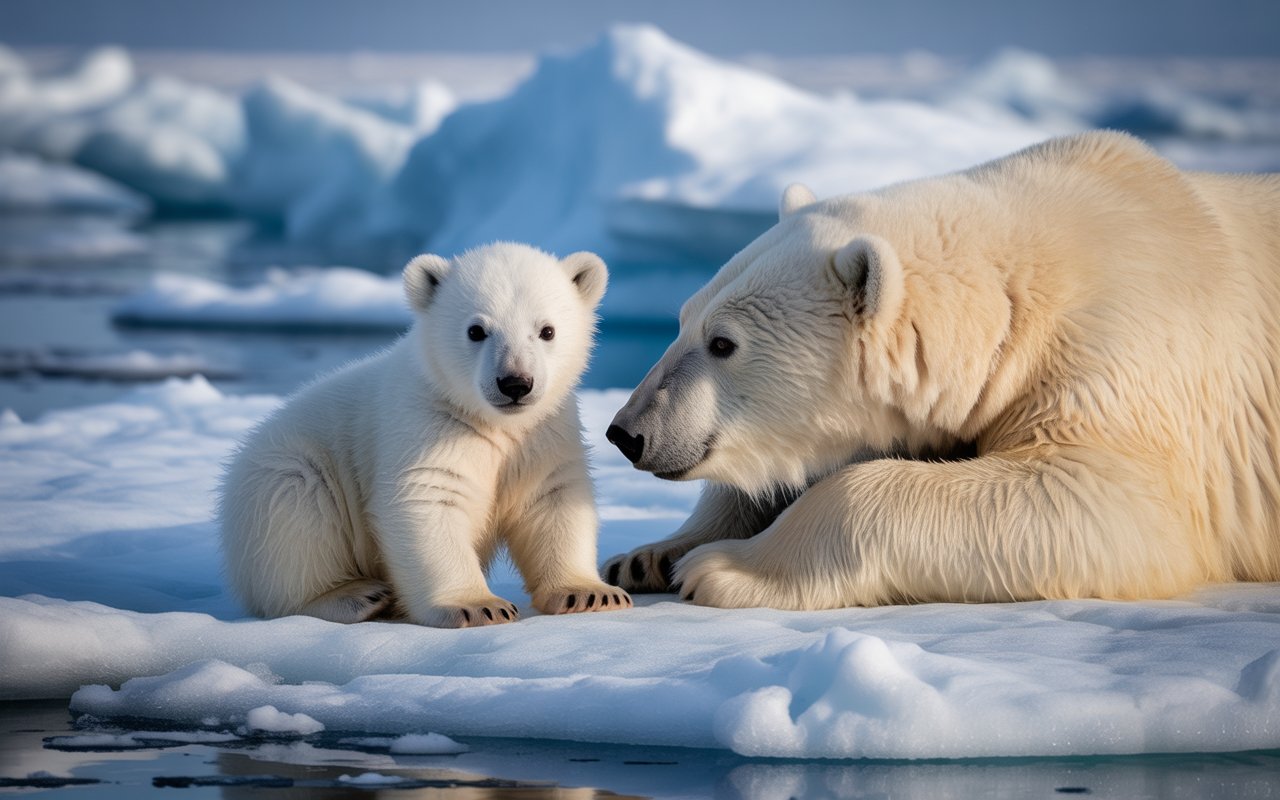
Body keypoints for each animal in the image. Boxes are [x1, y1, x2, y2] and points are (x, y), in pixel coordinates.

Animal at [220, 242, 631, 627]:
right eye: (476, 330)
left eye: (547, 330)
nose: (515, 383)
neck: (491, 421)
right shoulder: (427, 424)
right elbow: (430, 500)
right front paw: (477, 605)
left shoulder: (543, 434)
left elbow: (552, 499)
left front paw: (591, 593)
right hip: (285, 473)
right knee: (297, 522)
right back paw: (355, 596)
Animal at [602, 131, 1280, 610]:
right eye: (682, 319)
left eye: (723, 343)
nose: (626, 431)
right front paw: (649, 556)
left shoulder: (1117, 358)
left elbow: (1104, 499)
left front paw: (720, 568)